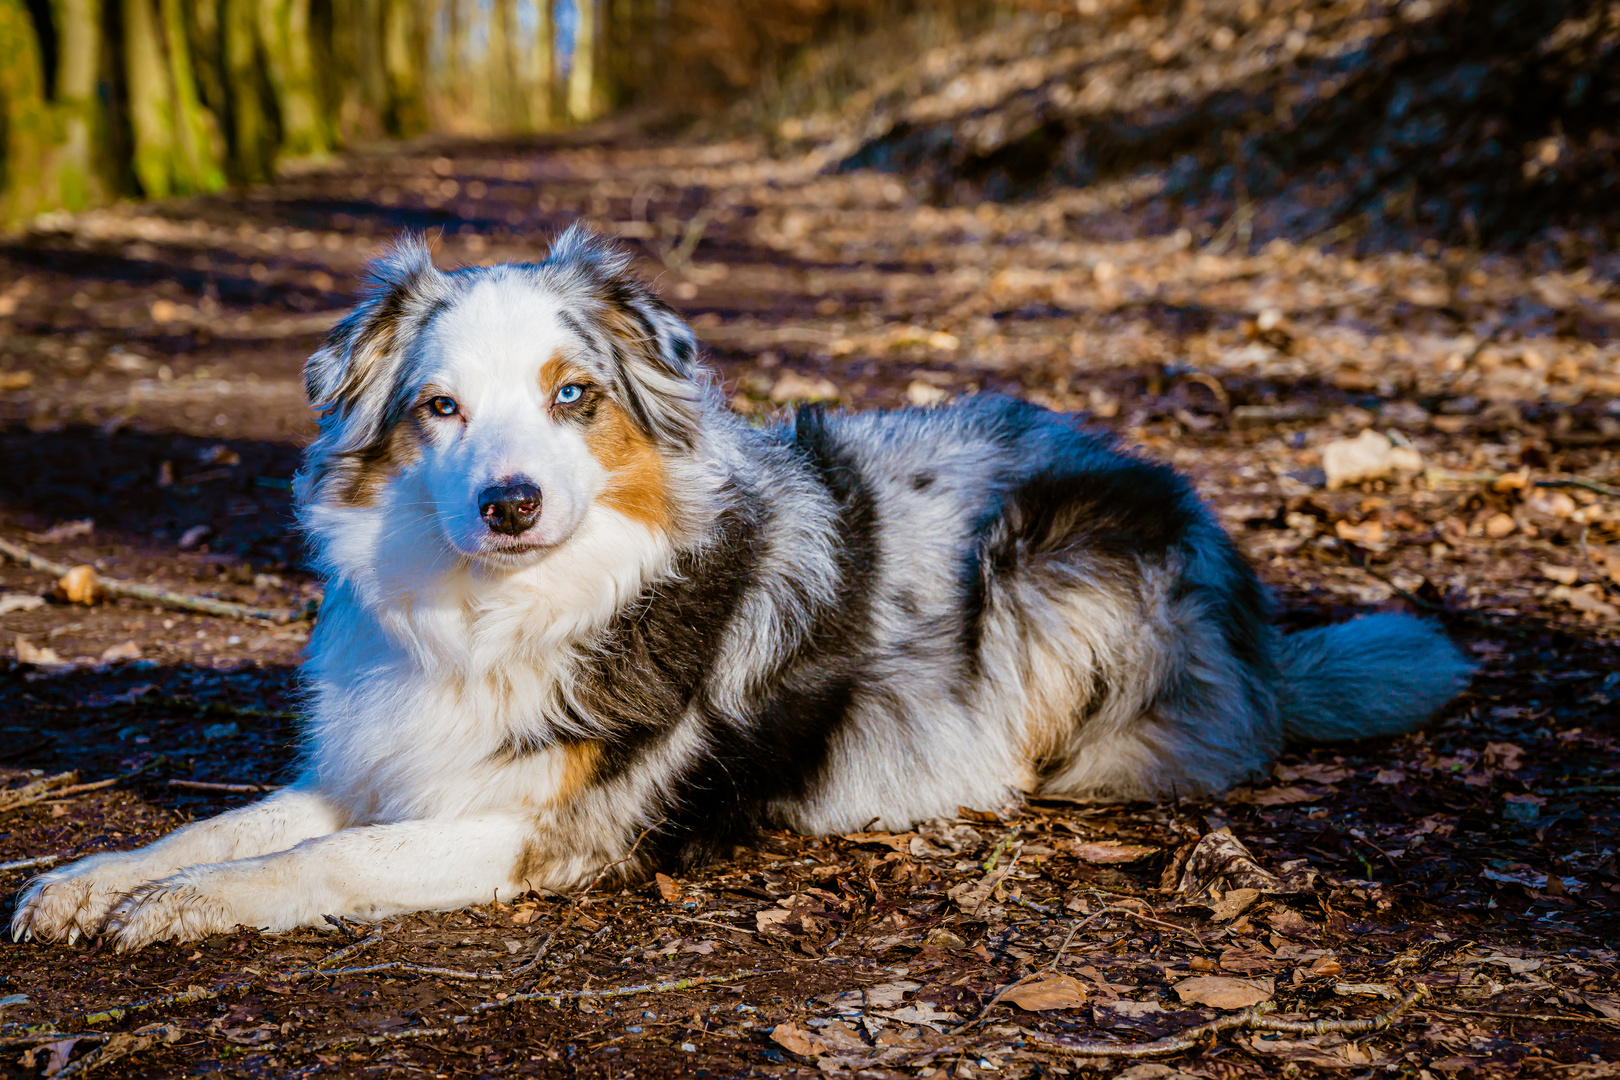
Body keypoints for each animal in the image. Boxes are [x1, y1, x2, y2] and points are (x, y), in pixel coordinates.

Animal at [12, 226, 1477, 945]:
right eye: (439, 407)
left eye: (573, 397)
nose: (510, 502)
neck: (497, 609)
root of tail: (1258, 615)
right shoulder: (386, 761)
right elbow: (232, 828)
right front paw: (97, 882)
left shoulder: (530, 829)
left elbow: (321, 859)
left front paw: (165, 913)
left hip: (1051, 555)